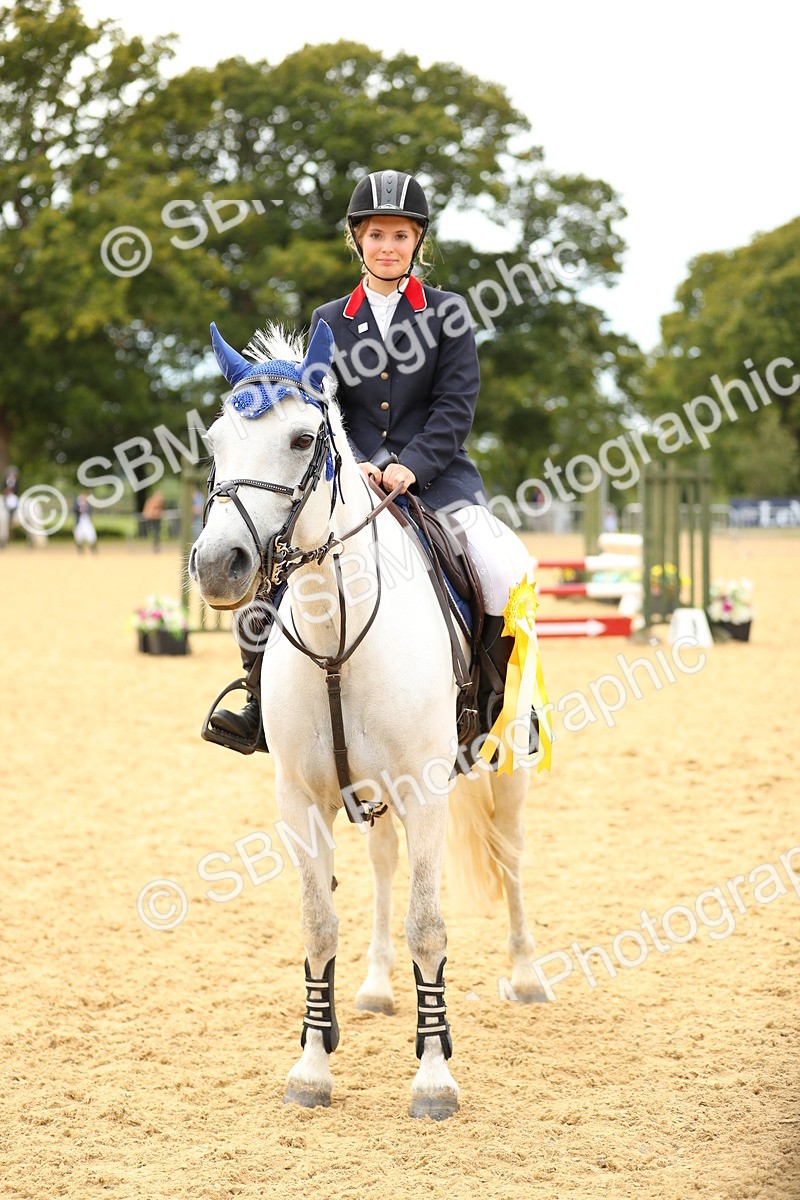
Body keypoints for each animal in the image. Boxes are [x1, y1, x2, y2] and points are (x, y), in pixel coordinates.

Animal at [188, 318, 545, 1120]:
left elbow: (429, 925)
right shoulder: (299, 798)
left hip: (506, 766)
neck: (336, 636)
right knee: (383, 863)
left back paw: (527, 977)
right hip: (370, 791)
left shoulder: (428, 791)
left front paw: (435, 1079)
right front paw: (312, 1065)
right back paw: (379, 988)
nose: (219, 565)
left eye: (300, 440)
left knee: (509, 854)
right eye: (217, 440)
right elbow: (320, 924)